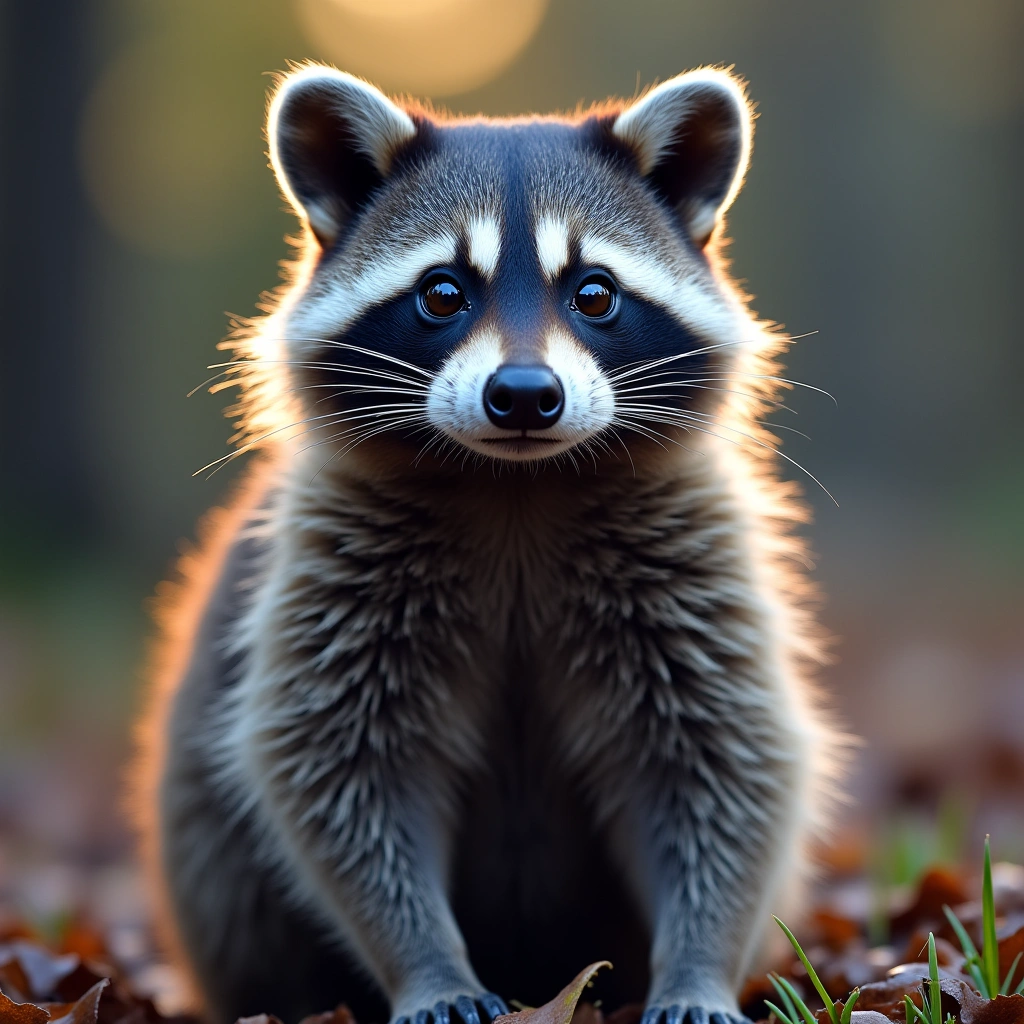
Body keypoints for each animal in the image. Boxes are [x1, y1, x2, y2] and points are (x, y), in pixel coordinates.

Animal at [136, 64, 838, 1024]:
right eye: (442, 293)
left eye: (594, 293)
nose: (525, 394)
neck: (517, 488)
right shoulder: (333, 570)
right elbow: (341, 767)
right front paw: (428, 963)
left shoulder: (692, 560)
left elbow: (716, 756)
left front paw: (699, 963)